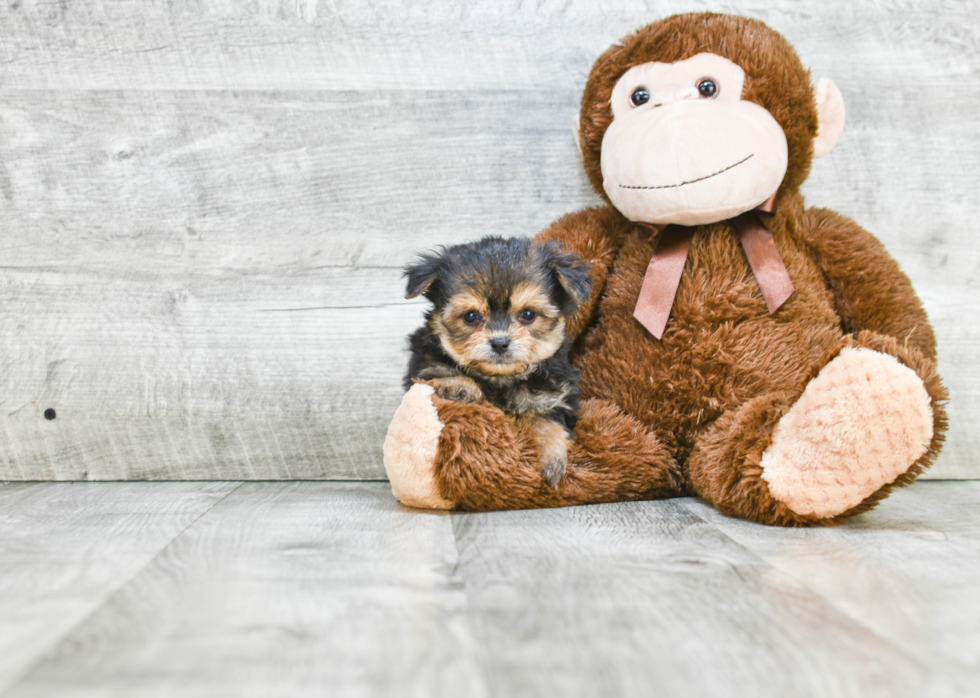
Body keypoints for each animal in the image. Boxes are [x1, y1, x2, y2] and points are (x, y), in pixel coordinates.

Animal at [402, 234, 592, 484]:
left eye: (528, 314)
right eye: (471, 316)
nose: (500, 342)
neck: (500, 379)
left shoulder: (556, 396)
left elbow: (548, 419)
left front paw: (552, 458)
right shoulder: (422, 363)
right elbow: (438, 370)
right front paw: (459, 385)